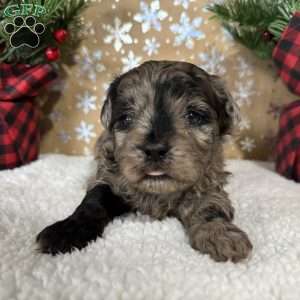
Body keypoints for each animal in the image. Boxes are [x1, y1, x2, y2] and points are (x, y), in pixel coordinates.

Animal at [36, 59, 252, 262]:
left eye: (194, 116)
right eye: (126, 118)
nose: (154, 150)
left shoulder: (209, 182)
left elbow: (211, 207)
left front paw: (221, 235)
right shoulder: (110, 177)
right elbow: (93, 201)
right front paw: (67, 231)